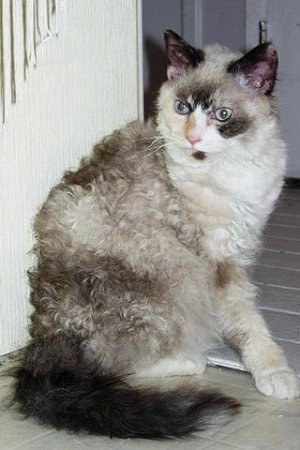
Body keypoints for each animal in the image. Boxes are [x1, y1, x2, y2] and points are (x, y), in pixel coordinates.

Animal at [12, 29, 298, 438]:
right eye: (181, 108)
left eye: (222, 115)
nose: (193, 139)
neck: (231, 168)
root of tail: (44, 334)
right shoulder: (220, 264)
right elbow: (250, 325)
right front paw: (277, 374)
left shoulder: (242, 248)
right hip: (173, 275)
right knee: (111, 365)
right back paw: (192, 360)